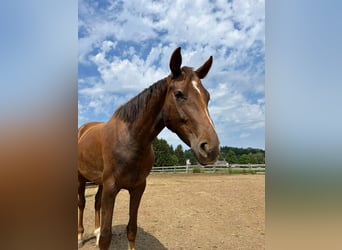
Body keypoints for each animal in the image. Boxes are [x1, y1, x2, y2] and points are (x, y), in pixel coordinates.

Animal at [78, 47, 219, 250]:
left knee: (96, 202)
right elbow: (106, 237)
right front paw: (99, 237)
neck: (131, 141)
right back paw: (80, 237)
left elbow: (131, 230)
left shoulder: (137, 188)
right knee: (81, 203)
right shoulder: (111, 188)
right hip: (81, 178)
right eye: (178, 94)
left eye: (207, 97)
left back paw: (94, 233)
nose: (211, 148)